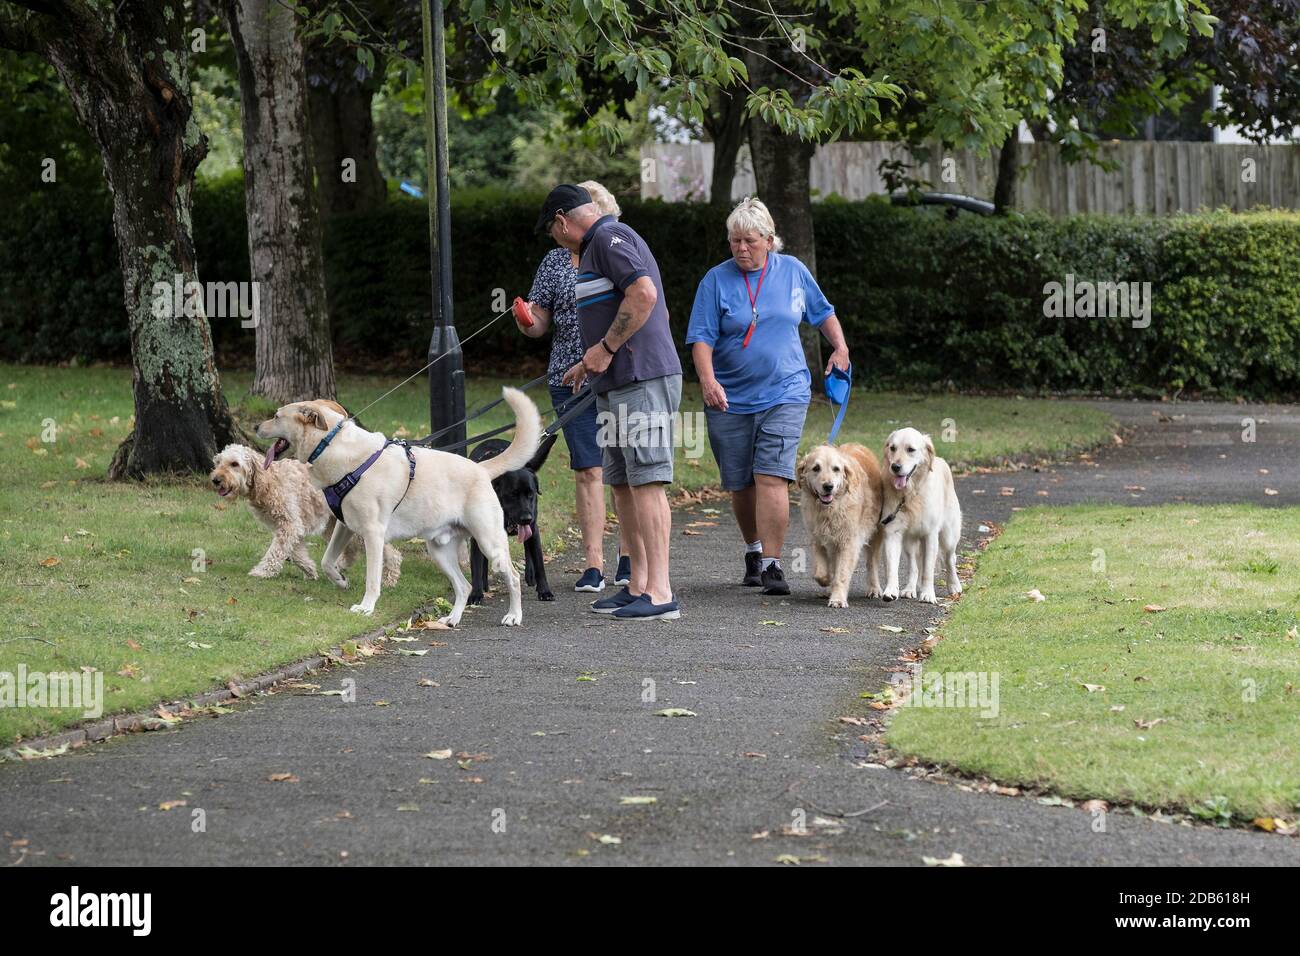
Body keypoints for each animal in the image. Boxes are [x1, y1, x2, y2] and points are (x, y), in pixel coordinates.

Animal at [210, 444, 400, 587]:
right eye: (218, 462)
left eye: (234, 464)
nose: (215, 480)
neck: (268, 481)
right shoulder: (290, 527)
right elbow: (296, 553)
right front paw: (310, 570)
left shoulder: (290, 524)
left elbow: (276, 552)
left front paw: (262, 571)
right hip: (334, 524)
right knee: (352, 548)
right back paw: (339, 566)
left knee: (390, 552)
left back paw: (390, 577)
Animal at [253, 390, 538, 629]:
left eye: (276, 416)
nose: (255, 426)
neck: (333, 447)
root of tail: (481, 468)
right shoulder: (345, 526)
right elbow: (326, 561)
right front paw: (340, 580)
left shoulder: (373, 533)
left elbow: (372, 579)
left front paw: (366, 607)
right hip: (440, 550)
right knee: (464, 586)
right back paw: (452, 619)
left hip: (490, 542)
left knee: (513, 576)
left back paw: (514, 615)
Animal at [465, 434, 556, 606]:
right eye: (512, 494)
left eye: (530, 494)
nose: (526, 518)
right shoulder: (477, 536)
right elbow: (477, 565)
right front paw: (476, 593)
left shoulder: (533, 528)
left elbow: (540, 563)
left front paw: (545, 591)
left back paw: (530, 575)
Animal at [790, 444, 883, 608]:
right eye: (816, 468)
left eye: (836, 469)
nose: (828, 486)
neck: (829, 509)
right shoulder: (817, 539)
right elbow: (821, 572)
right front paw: (827, 581)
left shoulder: (849, 543)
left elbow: (842, 573)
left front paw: (838, 599)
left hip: (875, 534)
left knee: (872, 563)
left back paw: (874, 589)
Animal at [878, 429, 961, 606]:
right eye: (892, 448)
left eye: (911, 449)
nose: (895, 467)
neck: (910, 493)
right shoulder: (892, 533)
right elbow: (892, 567)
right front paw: (890, 591)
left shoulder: (930, 535)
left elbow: (928, 569)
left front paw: (928, 594)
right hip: (909, 542)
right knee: (914, 566)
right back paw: (909, 589)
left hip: (949, 535)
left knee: (950, 559)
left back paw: (954, 585)